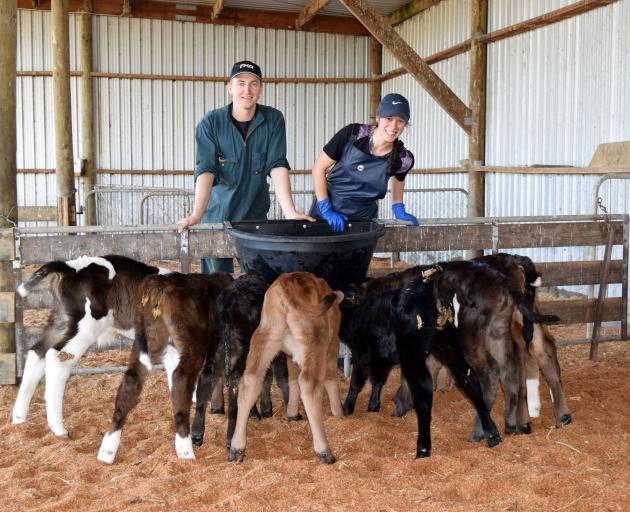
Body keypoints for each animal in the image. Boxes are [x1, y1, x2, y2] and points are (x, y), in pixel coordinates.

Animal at [99, 272, 235, 464]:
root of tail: (161, 281)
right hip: (193, 343)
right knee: (181, 378)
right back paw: (185, 449)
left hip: (147, 341)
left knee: (131, 381)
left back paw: (107, 450)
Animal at [228, 272, 346, 464]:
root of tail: (287, 284)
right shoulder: (332, 343)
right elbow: (329, 378)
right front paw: (339, 413)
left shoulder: (291, 356)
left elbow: (292, 380)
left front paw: (291, 413)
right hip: (316, 343)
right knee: (309, 385)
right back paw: (324, 450)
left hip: (265, 336)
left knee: (250, 381)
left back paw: (237, 447)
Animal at [344, 266, 502, 458]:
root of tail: (427, 285)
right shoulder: (382, 359)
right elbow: (378, 381)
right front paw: (373, 406)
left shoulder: (362, 354)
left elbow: (356, 381)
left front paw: (347, 408)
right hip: (448, 346)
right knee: (468, 380)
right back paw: (492, 435)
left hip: (412, 355)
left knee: (424, 386)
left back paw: (423, 448)